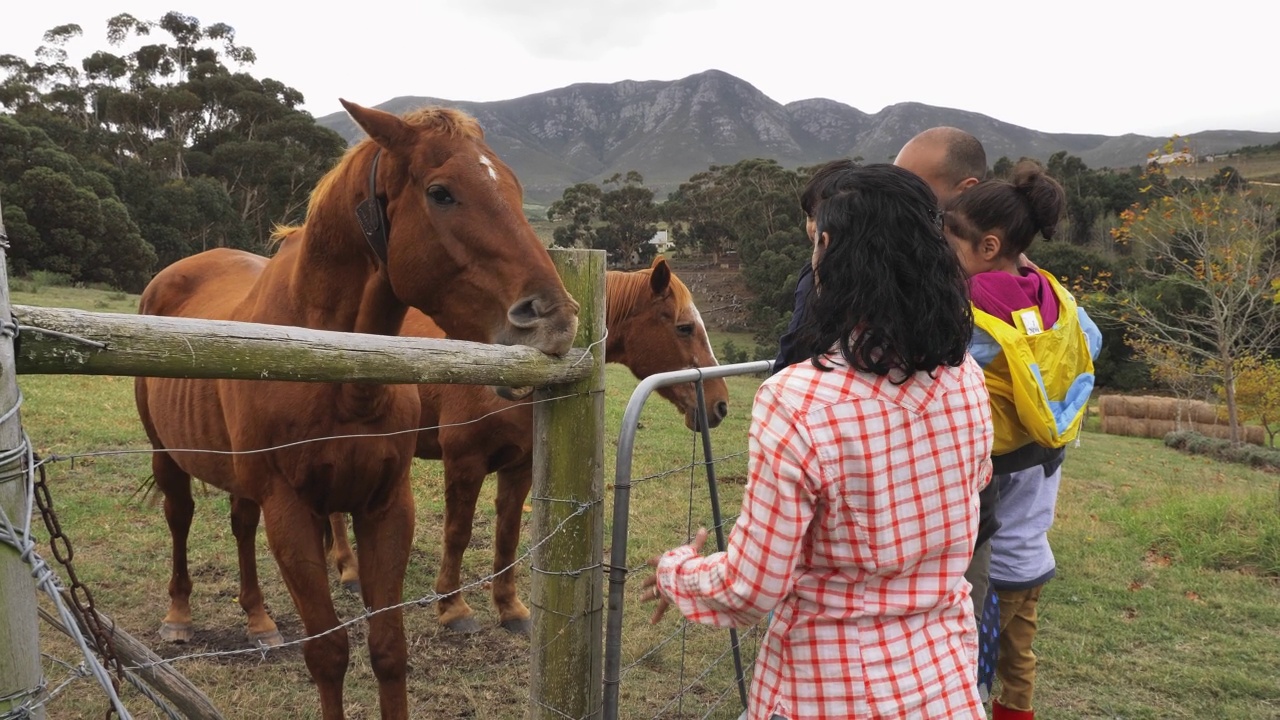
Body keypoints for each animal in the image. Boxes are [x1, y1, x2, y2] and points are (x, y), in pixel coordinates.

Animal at [133, 102, 581, 717]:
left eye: (514, 188)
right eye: (441, 192)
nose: (556, 318)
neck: (335, 369)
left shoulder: (387, 507)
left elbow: (389, 648)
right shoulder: (291, 513)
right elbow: (329, 654)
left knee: (241, 525)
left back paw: (258, 620)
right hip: (167, 455)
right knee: (180, 519)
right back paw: (179, 616)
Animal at [330, 254, 732, 630]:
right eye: (684, 327)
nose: (720, 404)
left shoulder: (520, 467)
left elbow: (507, 536)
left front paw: (510, 609)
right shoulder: (464, 463)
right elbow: (457, 534)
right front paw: (453, 607)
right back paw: (349, 571)